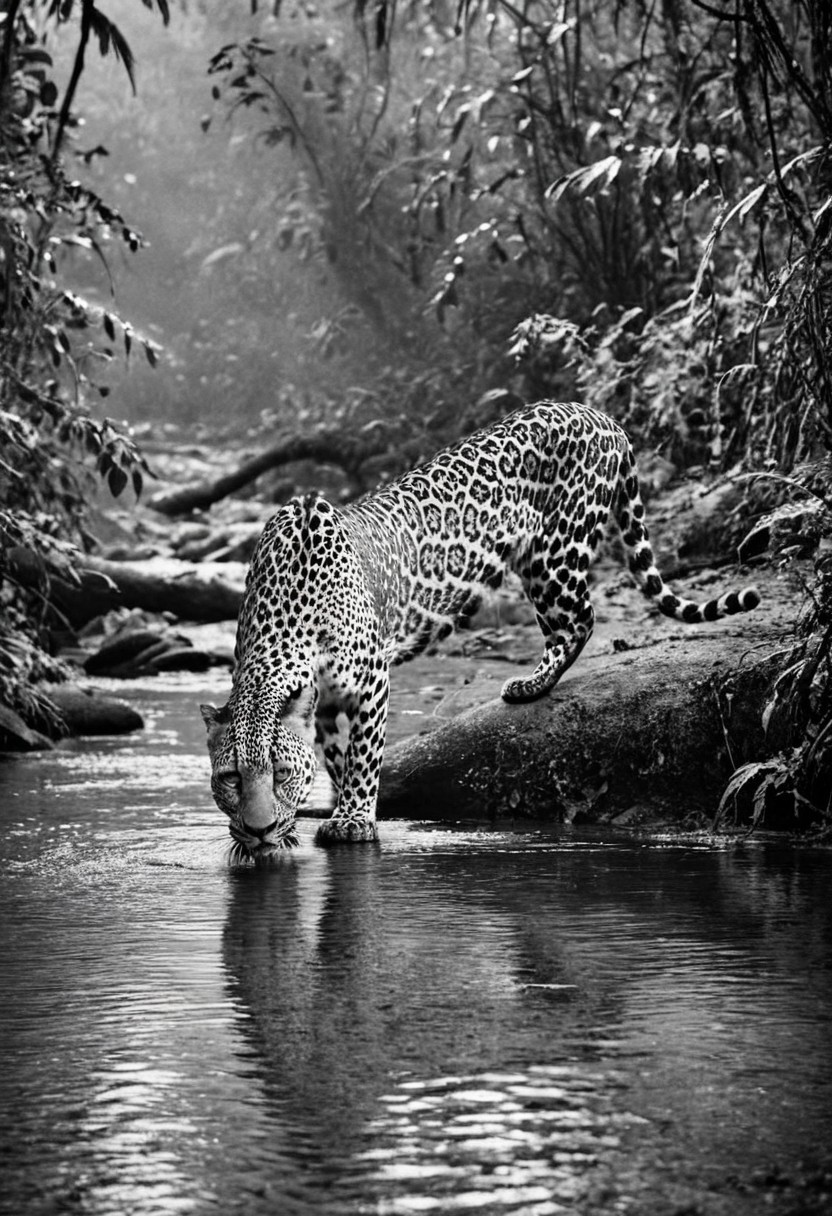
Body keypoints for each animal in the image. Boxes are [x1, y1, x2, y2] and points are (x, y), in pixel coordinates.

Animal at [201, 400, 759, 859]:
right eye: (230, 778)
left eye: (280, 773)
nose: (257, 831)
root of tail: (599, 415)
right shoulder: (328, 701)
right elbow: (338, 754)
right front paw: (333, 811)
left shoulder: (371, 681)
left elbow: (363, 755)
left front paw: (354, 818)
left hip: (553, 554)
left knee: (580, 620)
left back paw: (530, 684)